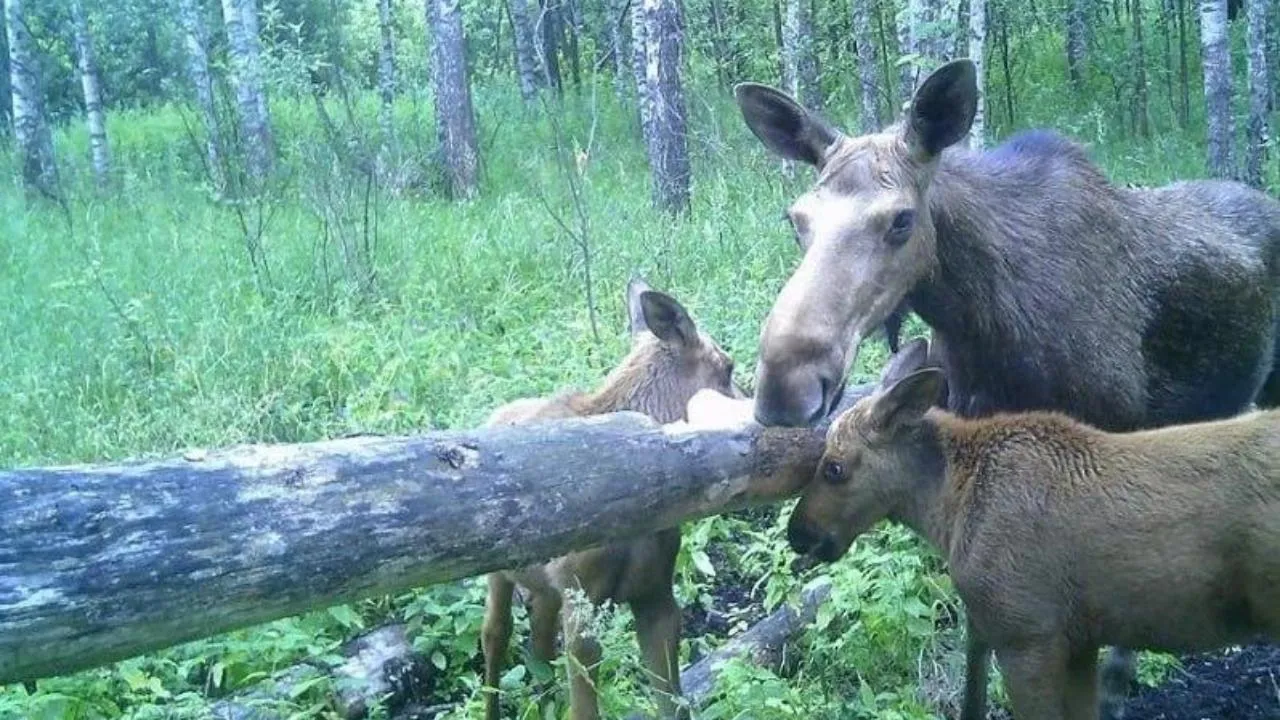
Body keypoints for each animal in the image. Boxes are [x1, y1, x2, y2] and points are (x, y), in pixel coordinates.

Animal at [481, 278, 742, 717]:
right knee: (495, 636)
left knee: (539, 643)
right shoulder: (582, 602)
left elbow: (671, 700)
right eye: (729, 367)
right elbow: (585, 706)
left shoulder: (656, 593)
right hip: (498, 574)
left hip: (546, 588)